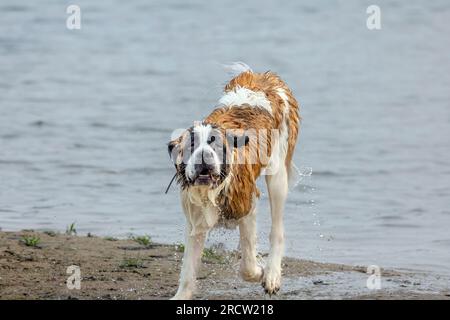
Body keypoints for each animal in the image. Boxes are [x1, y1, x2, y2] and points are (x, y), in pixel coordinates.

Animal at [167, 63, 300, 300]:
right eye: (191, 145)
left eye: (215, 144)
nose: (204, 157)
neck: (211, 190)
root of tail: (263, 78)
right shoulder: (195, 220)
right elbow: (188, 269)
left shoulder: (248, 206)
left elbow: (247, 264)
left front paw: (260, 272)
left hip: (278, 175)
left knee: (277, 228)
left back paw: (272, 273)